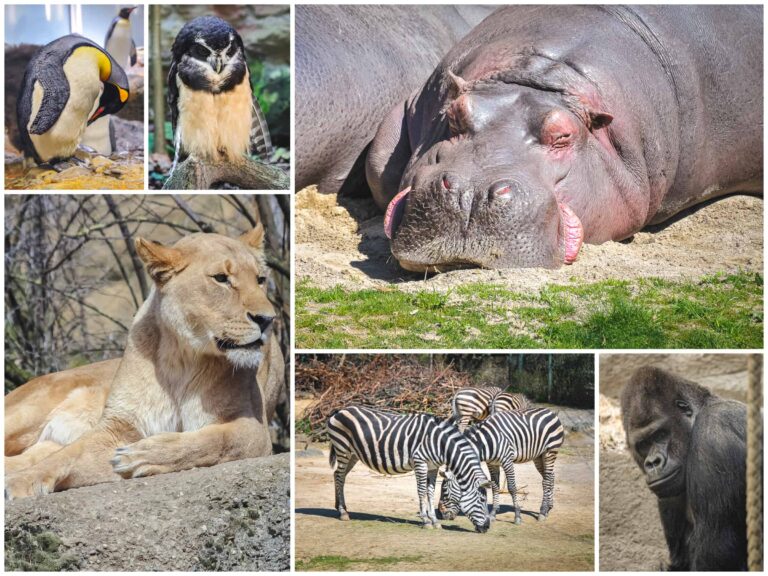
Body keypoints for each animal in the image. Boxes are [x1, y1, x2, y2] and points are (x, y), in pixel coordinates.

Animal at [324, 404, 492, 532]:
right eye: (482, 500)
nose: (487, 528)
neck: (440, 444)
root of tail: (340, 410)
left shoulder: (433, 467)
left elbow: (430, 493)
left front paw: (435, 521)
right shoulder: (420, 462)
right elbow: (421, 491)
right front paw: (426, 521)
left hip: (353, 454)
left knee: (339, 475)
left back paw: (340, 508)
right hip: (343, 449)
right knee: (339, 476)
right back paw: (343, 512)